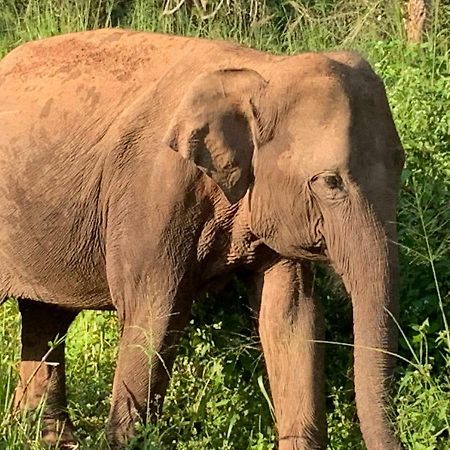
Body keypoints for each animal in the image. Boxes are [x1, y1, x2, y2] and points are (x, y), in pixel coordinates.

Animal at [0, 29, 404, 450]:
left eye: (401, 165)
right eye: (330, 182)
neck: (264, 71)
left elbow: (292, 317)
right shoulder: (153, 191)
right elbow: (155, 312)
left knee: (46, 317)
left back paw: (49, 439)